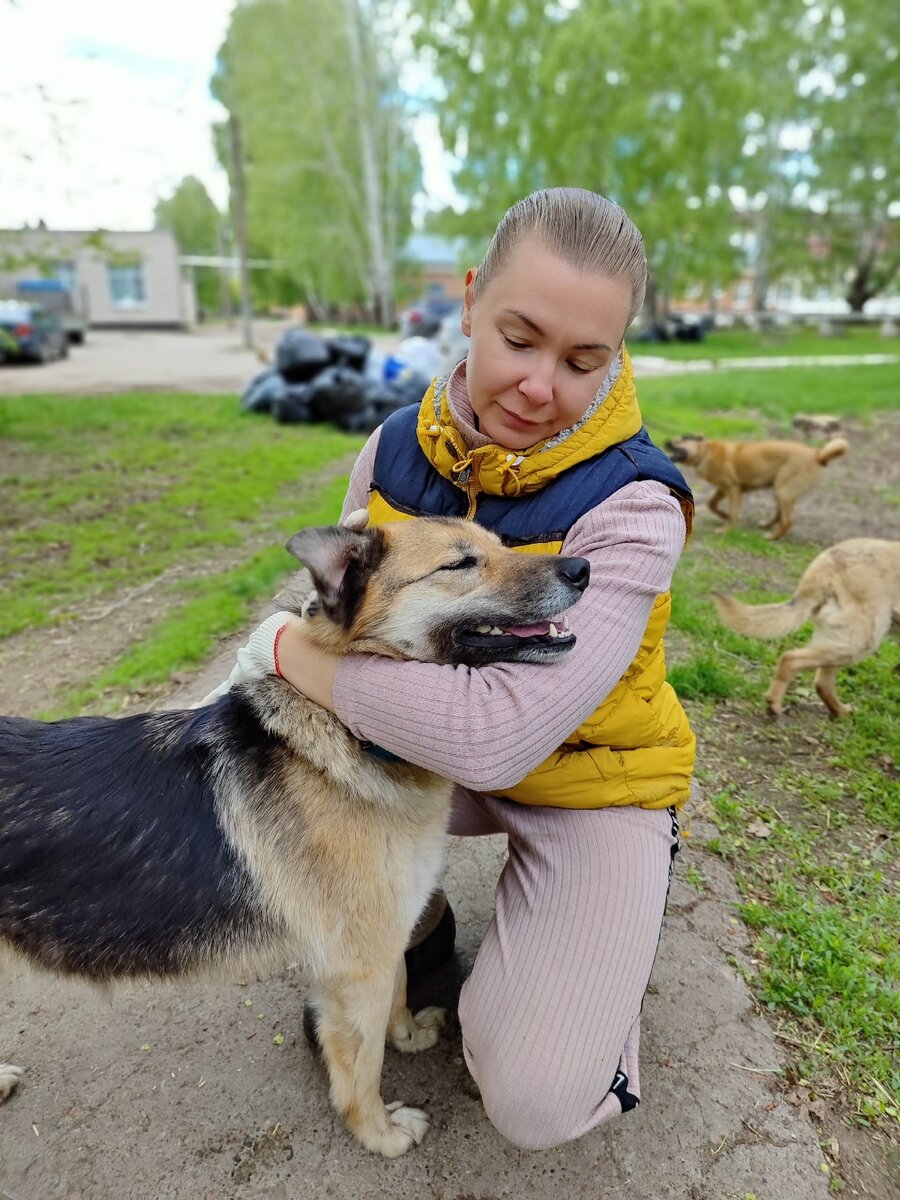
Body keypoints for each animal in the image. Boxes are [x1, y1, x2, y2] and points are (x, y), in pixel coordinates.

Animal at [0, 511, 588, 1156]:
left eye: (502, 545)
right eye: (460, 564)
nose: (582, 567)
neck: (351, 736)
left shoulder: (384, 944)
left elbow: (400, 994)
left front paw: (408, 1036)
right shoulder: (359, 965)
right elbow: (363, 1067)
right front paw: (380, 1134)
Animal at [667, 434, 849, 537]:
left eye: (681, 440)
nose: (666, 441)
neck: (704, 453)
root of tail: (817, 454)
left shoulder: (733, 489)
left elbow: (732, 513)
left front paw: (726, 529)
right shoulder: (724, 488)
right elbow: (712, 504)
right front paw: (724, 516)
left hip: (782, 491)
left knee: (788, 521)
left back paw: (772, 536)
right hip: (779, 489)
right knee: (780, 515)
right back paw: (767, 525)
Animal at [715, 540, 897, 715]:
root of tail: (824, 565)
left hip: (842, 641)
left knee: (822, 682)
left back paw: (841, 712)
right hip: (859, 642)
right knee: (790, 659)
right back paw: (775, 704)